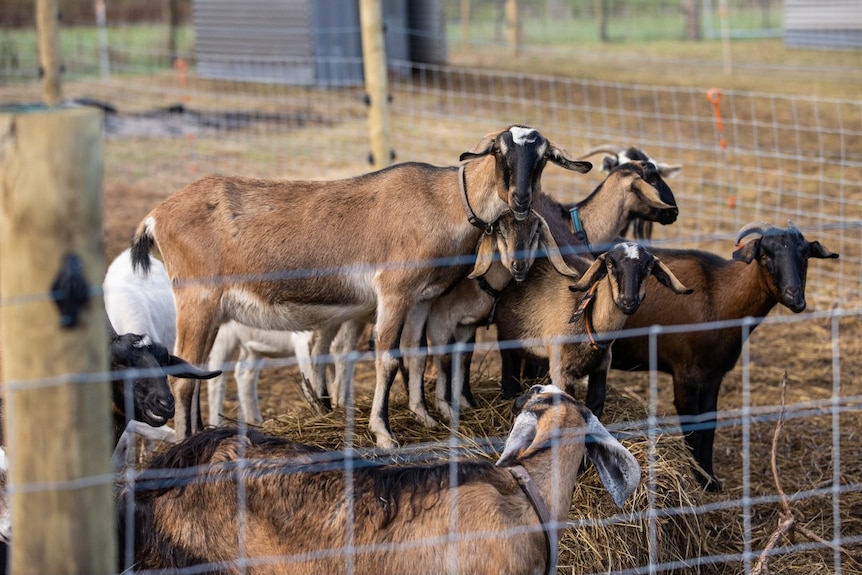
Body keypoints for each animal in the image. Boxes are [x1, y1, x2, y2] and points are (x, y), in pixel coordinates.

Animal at [132, 126, 596, 450]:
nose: (520, 199)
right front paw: (384, 434)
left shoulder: (422, 299)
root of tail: (155, 217)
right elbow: (388, 358)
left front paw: (425, 417)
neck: (441, 202)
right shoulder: (393, 292)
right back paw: (183, 442)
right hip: (198, 301)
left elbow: (415, 353)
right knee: (183, 379)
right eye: (500, 150)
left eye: (543, 157)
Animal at [612, 220, 840, 490]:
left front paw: (711, 479)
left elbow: (709, 425)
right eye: (765, 255)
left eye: (805, 255)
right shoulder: (684, 373)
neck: (717, 296)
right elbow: (692, 428)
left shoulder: (713, 374)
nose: (795, 297)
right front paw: (700, 480)